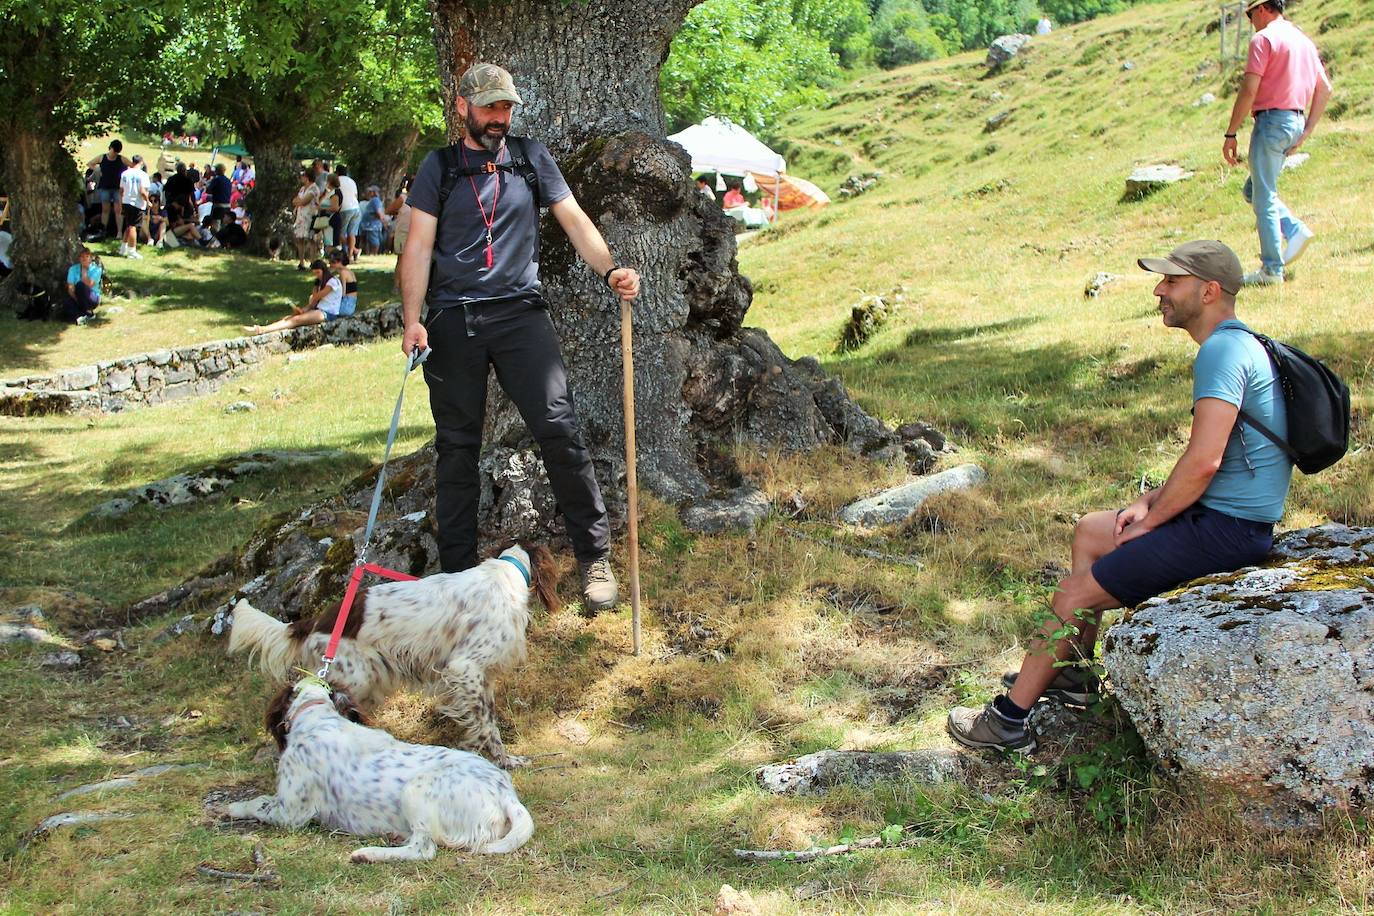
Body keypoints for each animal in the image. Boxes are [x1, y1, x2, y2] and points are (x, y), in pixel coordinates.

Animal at [217, 678, 533, 862]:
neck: (317, 715)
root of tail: (505, 793)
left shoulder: (291, 811)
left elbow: (257, 803)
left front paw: (230, 808)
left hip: (415, 790)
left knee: (424, 849)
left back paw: (367, 854)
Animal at [228, 541, 560, 769]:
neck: (504, 574)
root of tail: (313, 621)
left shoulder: (482, 677)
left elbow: (486, 718)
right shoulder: (464, 668)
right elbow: (486, 725)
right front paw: (495, 758)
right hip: (354, 678)